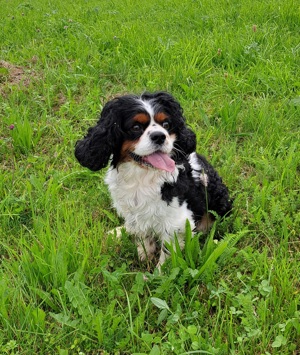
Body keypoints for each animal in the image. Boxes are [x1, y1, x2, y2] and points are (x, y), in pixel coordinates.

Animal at [74, 91, 232, 268]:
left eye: (166, 124)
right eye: (136, 127)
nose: (160, 136)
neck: (143, 176)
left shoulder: (177, 223)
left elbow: (168, 254)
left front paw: (159, 272)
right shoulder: (135, 212)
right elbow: (144, 237)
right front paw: (144, 256)